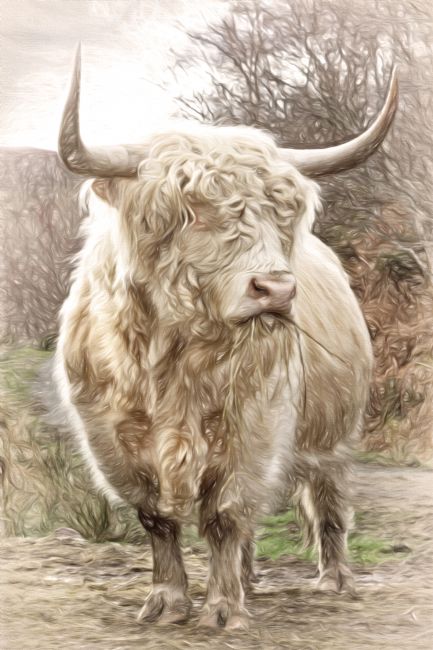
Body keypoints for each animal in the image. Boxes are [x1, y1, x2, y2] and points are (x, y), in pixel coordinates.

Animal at [54, 46, 397, 630]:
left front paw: (222, 609)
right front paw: (167, 601)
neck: (172, 358)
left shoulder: (253, 426)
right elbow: (156, 517)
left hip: (333, 432)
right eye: (189, 211)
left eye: (283, 212)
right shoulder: (109, 435)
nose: (276, 288)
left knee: (327, 501)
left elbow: (225, 513)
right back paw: (250, 578)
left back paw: (334, 579)